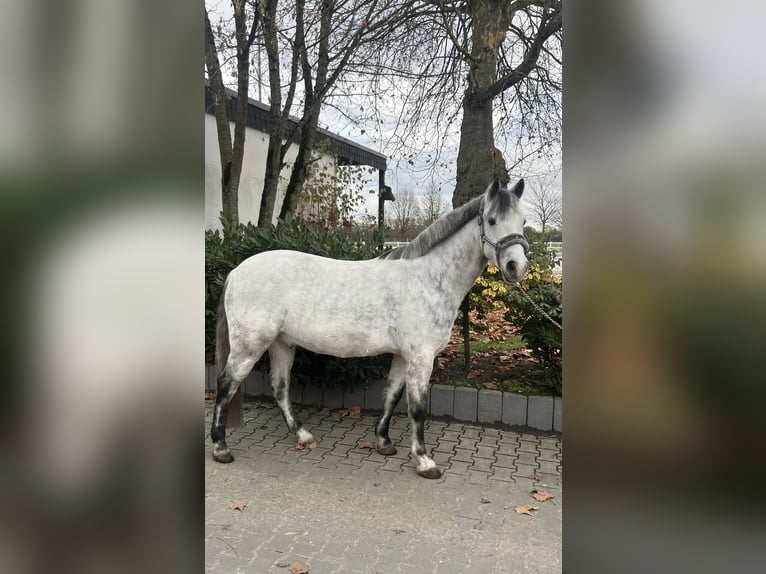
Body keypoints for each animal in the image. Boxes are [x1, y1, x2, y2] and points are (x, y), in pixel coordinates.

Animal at [210, 178, 529, 479]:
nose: (517, 267)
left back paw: (302, 435)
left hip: (282, 343)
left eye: (523, 221)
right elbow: (417, 408)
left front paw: (384, 442)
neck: (428, 278)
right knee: (226, 385)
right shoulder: (421, 357)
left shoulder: (403, 356)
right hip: (250, 345)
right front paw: (424, 461)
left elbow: (391, 396)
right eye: (492, 220)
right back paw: (220, 447)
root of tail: (236, 271)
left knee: (279, 387)